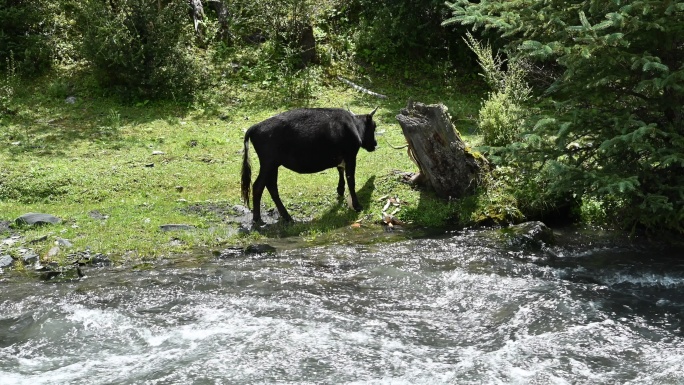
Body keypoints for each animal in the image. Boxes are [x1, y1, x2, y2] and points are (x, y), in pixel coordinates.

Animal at [240, 107, 380, 222]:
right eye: (374, 126)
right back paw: (257, 218)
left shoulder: (341, 157)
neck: (353, 125)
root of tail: (255, 127)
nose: (375, 144)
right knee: (258, 186)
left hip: (273, 165)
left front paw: (340, 190)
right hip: (268, 163)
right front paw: (357, 206)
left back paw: (287, 217)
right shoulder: (350, 155)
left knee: (271, 186)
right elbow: (351, 180)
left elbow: (340, 170)